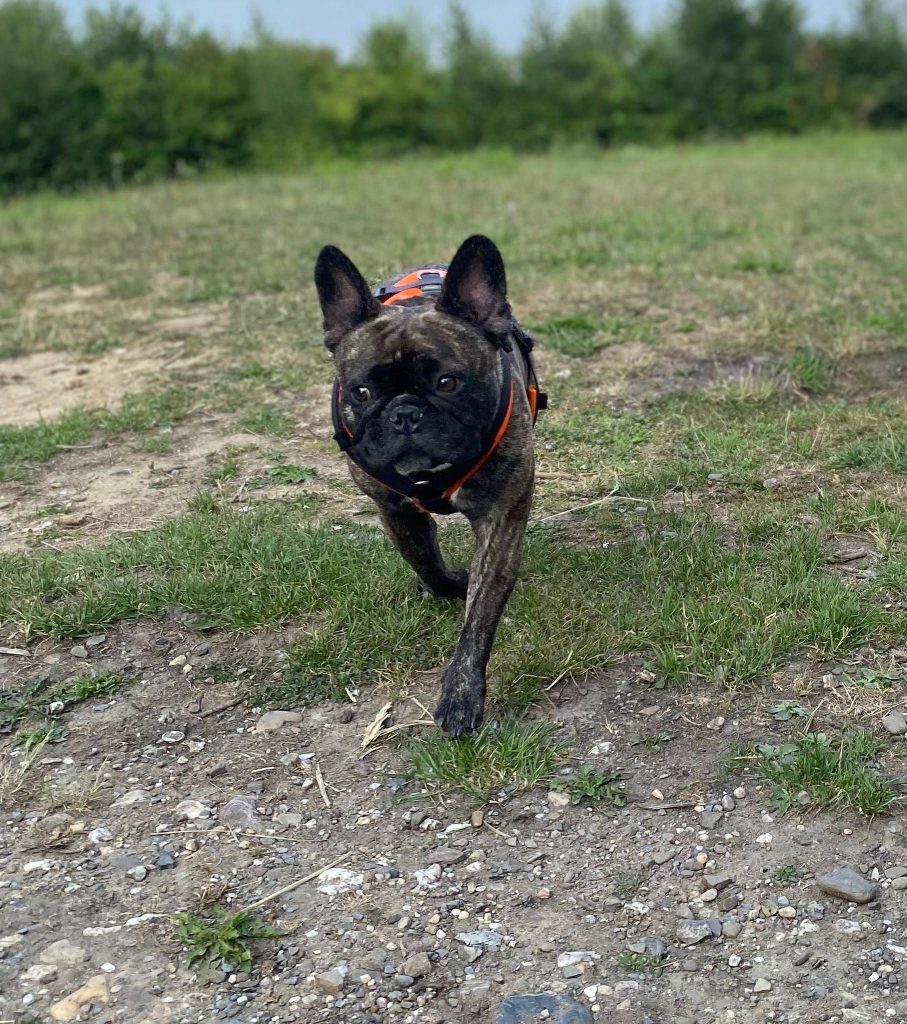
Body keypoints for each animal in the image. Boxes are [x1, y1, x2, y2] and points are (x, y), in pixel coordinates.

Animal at [314, 235, 544, 736]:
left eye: (448, 382)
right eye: (360, 392)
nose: (405, 413)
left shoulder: (501, 517)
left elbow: (480, 614)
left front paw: (461, 694)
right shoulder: (394, 510)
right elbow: (427, 565)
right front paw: (451, 582)